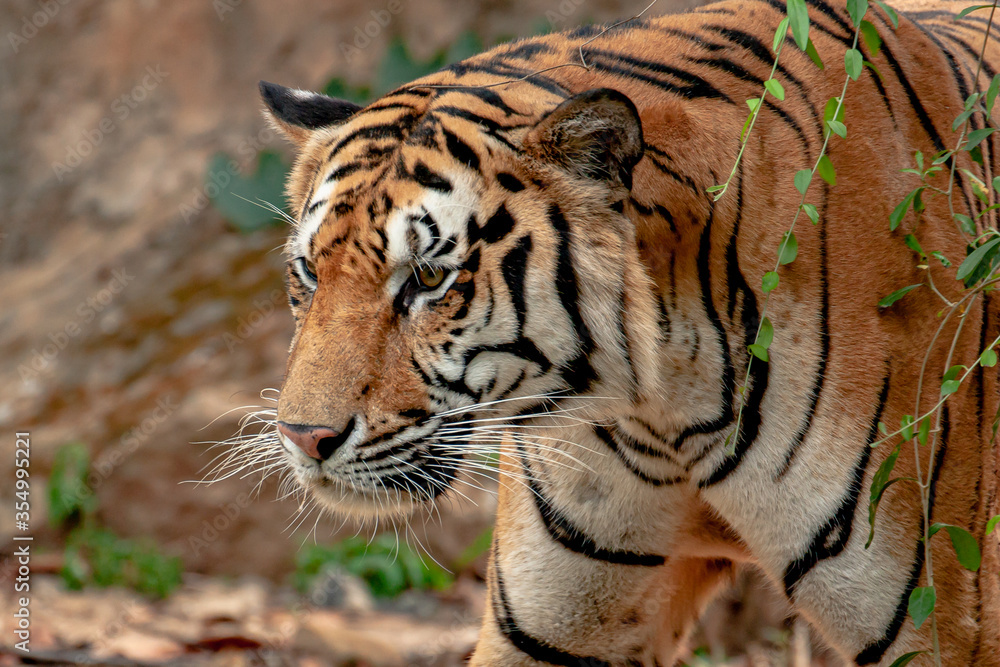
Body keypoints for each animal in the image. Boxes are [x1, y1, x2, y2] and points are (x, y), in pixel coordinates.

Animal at [252, 0, 1000, 663]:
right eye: (309, 273)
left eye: (429, 277)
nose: (303, 438)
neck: (663, 404)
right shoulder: (550, 626)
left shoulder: (943, 626)